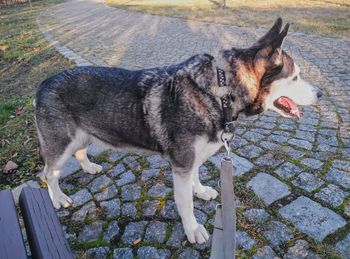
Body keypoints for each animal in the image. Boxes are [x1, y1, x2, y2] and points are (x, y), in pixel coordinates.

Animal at [35, 18, 322, 246]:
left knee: (80, 153)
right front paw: (192, 228)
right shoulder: (181, 165)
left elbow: (195, 178)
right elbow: (185, 204)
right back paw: (58, 198)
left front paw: (200, 191)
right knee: (48, 174)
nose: (320, 94)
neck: (219, 93)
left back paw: (89, 167)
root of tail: (44, 82)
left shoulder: (193, 160)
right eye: (295, 77)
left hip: (80, 138)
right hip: (62, 145)